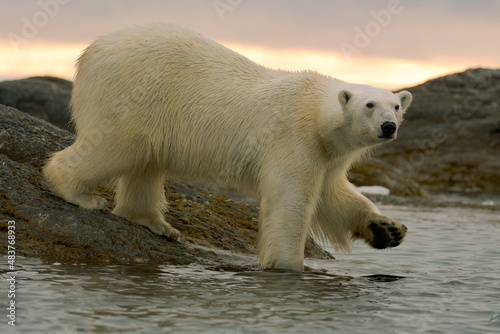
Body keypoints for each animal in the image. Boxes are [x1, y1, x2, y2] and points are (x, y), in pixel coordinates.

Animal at [44, 22, 410, 268]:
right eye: (369, 105)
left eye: (396, 105)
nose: (388, 127)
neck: (316, 112)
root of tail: (91, 51)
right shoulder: (295, 139)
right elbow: (291, 201)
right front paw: (288, 265)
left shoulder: (328, 154)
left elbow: (332, 196)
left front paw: (388, 229)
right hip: (133, 94)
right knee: (116, 146)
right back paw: (80, 194)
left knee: (145, 163)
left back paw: (157, 224)